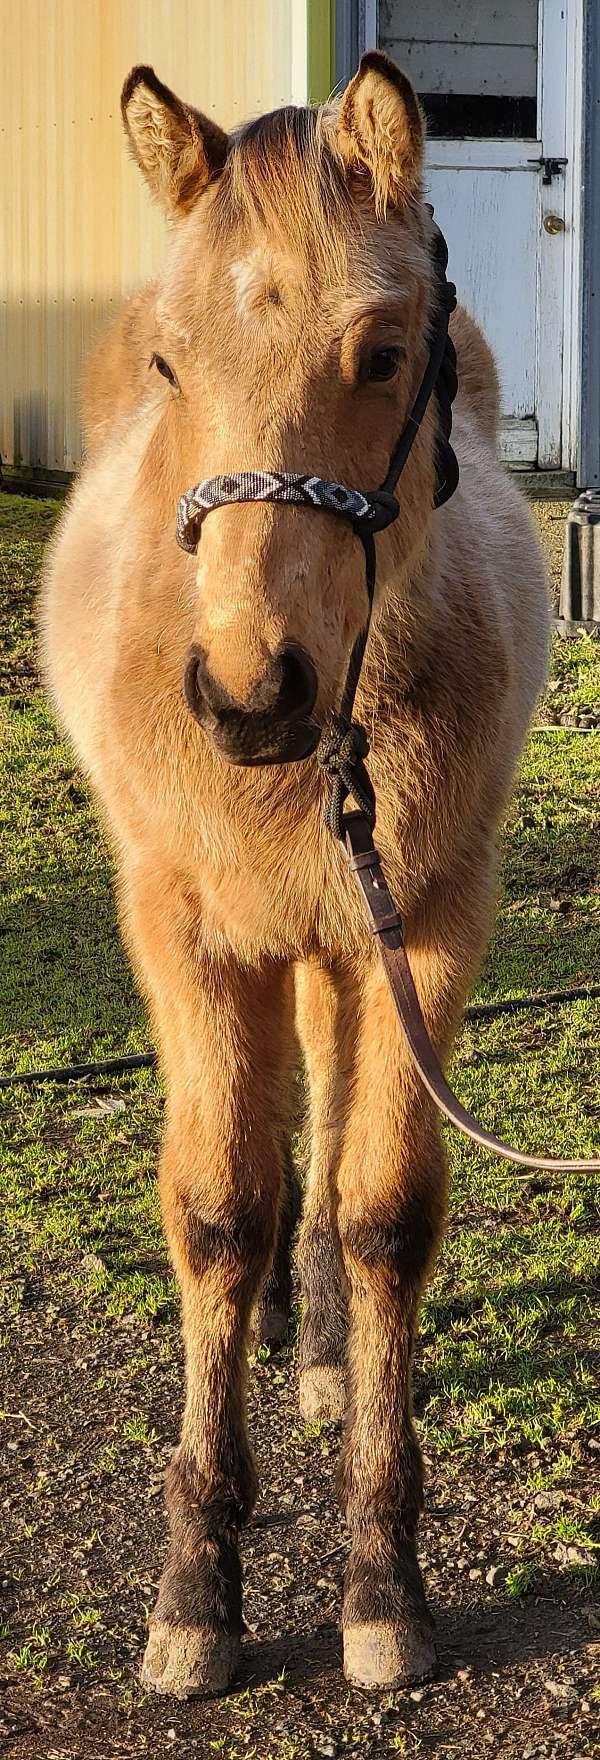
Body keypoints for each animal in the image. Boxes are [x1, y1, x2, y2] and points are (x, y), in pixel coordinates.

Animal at [39, 55, 548, 1696]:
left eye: (384, 355)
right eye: (170, 362)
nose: (248, 694)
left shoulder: (429, 926)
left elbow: (382, 1206)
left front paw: (380, 1577)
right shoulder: (183, 929)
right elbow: (213, 1206)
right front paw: (198, 1588)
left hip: (341, 942)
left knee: (318, 1126)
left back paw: (313, 1341)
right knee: (264, 1139)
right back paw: (269, 1323)